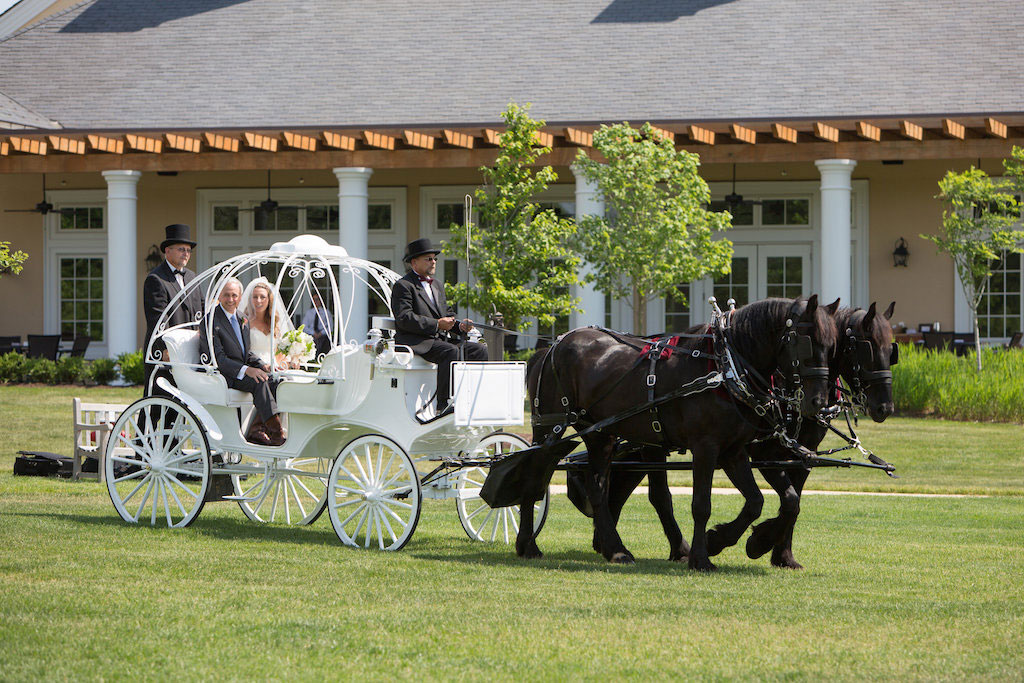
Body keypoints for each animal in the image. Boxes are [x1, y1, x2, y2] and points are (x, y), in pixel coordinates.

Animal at [524, 296, 835, 569]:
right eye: (807, 343)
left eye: (831, 346)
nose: (818, 402)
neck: (724, 367)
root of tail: (550, 347)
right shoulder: (706, 447)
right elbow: (701, 505)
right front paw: (701, 558)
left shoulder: (733, 450)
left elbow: (757, 501)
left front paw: (733, 541)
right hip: (548, 428)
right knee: (534, 478)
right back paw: (528, 545)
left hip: (601, 435)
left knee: (598, 488)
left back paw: (616, 550)